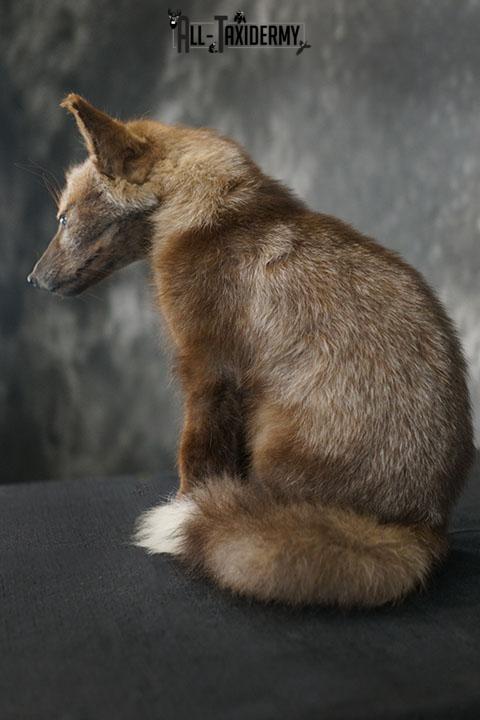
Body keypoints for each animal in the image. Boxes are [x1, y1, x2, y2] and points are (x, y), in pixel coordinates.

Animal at [28, 94, 474, 607]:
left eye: (64, 218)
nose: (32, 280)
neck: (216, 215)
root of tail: (422, 527)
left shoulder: (208, 369)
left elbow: (196, 458)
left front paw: (190, 506)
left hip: (272, 437)